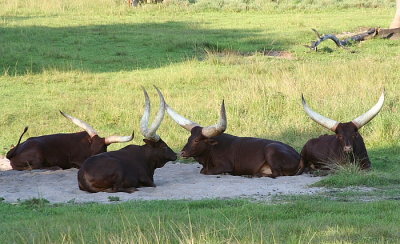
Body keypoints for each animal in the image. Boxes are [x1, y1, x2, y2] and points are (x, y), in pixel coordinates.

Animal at [165, 95, 300, 177]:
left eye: (197, 140)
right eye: (189, 138)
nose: (182, 153)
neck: (211, 150)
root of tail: (299, 157)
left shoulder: (225, 165)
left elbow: (205, 172)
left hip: (270, 149)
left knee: (276, 173)